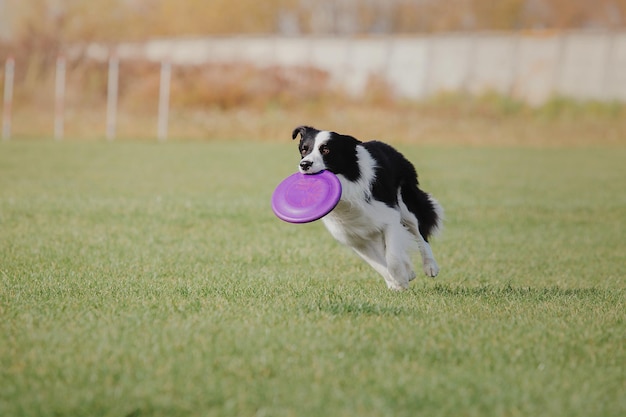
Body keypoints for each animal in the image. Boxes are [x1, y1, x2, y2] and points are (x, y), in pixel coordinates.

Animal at [292, 125, 442, 290]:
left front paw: (401, 279)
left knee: (419, 233)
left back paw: (430, 266)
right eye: (304, 149)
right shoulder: (353, 238)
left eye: (326, 150)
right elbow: (379, 264)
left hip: (406, 203)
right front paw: (396, 282)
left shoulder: (390, 217)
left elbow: (392, 257)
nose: (304, 164)